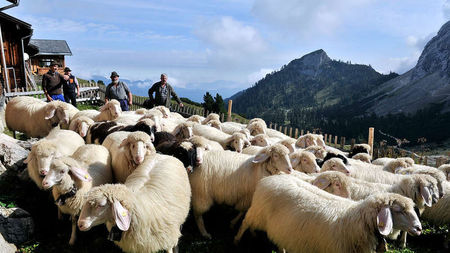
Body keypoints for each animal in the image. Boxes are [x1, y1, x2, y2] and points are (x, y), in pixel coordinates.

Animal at [234, 174, 424, 253]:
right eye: (399, 210)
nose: (419, 228)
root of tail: (272, 177)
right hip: (256, 212)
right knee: (244, 224)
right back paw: (236, 240)